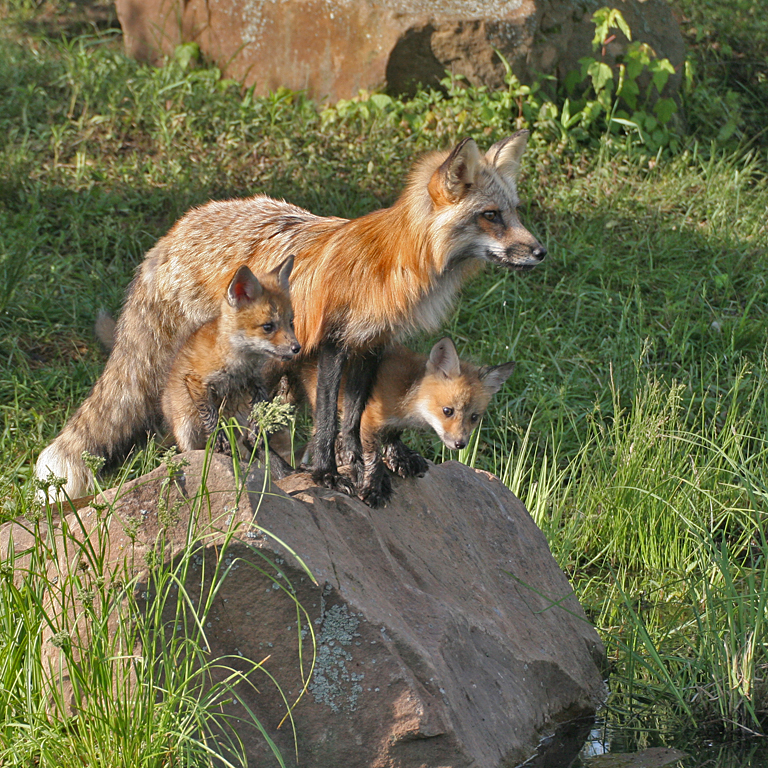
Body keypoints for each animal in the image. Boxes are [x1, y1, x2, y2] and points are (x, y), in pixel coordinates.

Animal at [162, 258, 300, 474]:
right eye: (268, 327)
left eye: (291, 322)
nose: (297, 348)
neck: (239, 362)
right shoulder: (196, 381)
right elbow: (211, 417)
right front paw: (219, 437)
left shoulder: (255, 380)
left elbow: (259, 408)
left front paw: (257, 430)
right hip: (186, 429)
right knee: (192, 451)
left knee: (248, 447)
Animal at [292, 338, 516, 508]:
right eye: (448, 411)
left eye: (474, 417)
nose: (460, 444)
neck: (407, 393)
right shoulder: (369, 418)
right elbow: (373, 458)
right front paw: (373, 488)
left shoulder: (393, 423)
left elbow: (393, 435)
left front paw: (399, 458)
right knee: (321, 432)